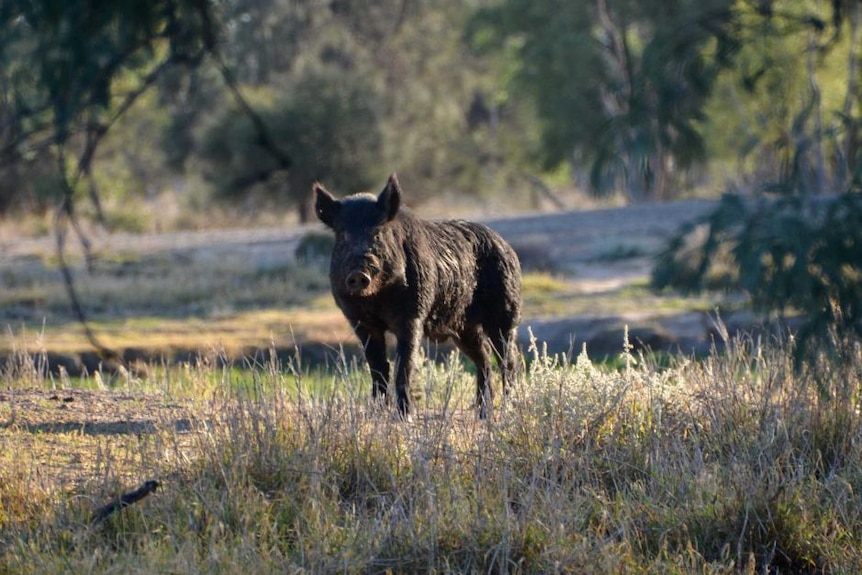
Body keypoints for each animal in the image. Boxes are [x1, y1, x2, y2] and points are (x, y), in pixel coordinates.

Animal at [314, 172, 524, 418]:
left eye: (378, 233)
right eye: (343, 235)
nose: (358, 274)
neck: (375, 299)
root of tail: (506, 245)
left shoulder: (412, 314)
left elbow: (404, 363)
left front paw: (405, 416)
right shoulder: (360, 322)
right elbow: (377, 366)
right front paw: (376, 412)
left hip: (505, 312)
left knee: (507, 360)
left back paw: (508, 409)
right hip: (464, 327)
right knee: (483, 357)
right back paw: (483, 413)